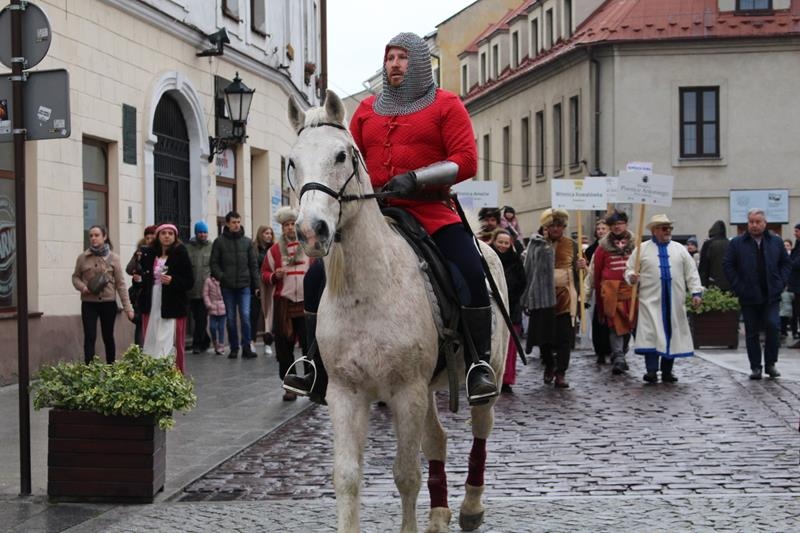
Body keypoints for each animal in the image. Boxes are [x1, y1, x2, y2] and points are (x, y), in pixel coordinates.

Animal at [286, 89, 509, 533]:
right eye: (292, 161)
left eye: (342, 155)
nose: (310, 231)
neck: (367, 290)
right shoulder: (345, 393)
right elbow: (347, 476)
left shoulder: (406, 392)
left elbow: (406, 474)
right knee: (437, 439)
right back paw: (438, 515)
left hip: (480, 375)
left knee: (481, 429)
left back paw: (470, 507)